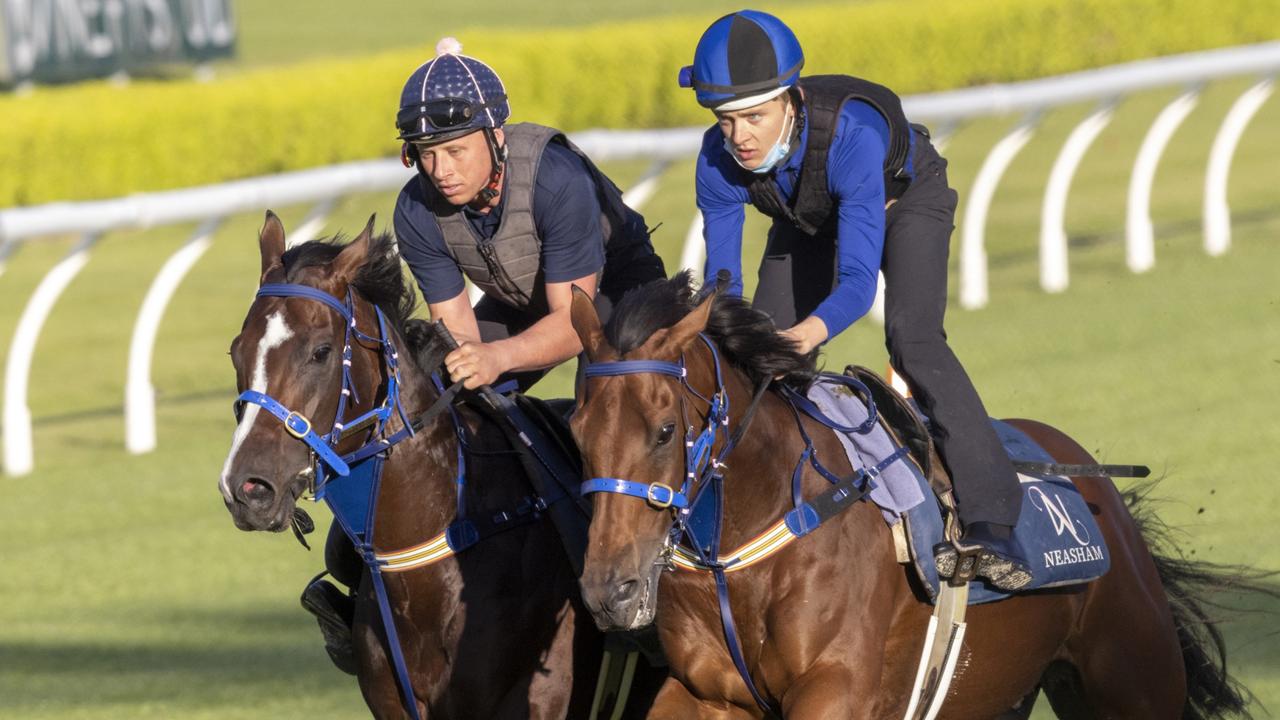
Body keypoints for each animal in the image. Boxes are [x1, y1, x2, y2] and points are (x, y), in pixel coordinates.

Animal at [573, 270, 1259, 717]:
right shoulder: (704, 691)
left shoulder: (837, 688)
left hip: (1131, 675)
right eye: (579, 433)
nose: (610, 592)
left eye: (665, 431)